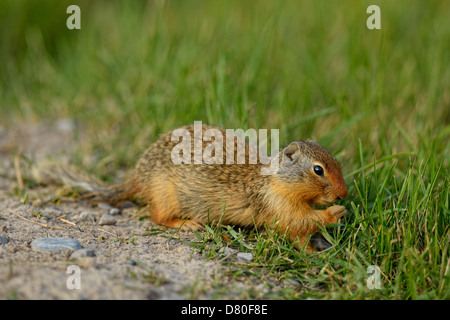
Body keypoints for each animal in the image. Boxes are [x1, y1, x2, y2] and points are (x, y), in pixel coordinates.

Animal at [34, 124, 348, 251]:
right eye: (318, 170)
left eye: (336, 161)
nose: (344, 193)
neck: (276, 180)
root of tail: (138, 176)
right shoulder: (280, 206)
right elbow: (299, 223)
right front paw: (336, 212)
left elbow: (301, 236)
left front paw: (315, 253)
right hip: (167, 195)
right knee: (157, 216)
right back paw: (187, 224)